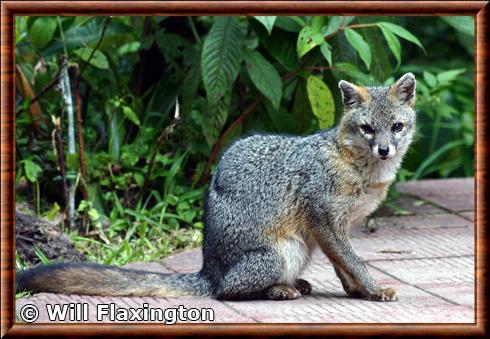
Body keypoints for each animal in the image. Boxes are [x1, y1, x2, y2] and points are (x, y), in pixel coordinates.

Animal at [16, 73, 418, 302]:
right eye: (368, 129)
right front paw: (373, 289)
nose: (385, 149)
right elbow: (354, 261)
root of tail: (208, 269)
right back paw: (277, 290)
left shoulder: (334, 228)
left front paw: (355, 290)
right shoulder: (324, 221)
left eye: (396, 127)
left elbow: (343, 264)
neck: (356, 167)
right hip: (280, 253)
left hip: (300, 248)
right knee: (228, 292)